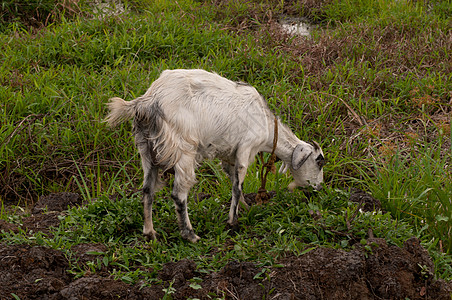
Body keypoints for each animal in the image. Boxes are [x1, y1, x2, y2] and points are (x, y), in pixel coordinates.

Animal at [106, 69, 324, 243]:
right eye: (319, 161)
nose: (319, 188)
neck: (267, 125)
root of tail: (149, 101)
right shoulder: (245, 147)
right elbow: (238, 184)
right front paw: (232, 222)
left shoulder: (229, 154)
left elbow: (233, 178)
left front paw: (245, 207)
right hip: (183, 149)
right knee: (178, 194)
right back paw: (190, 235)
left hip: (146, 149)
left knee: (147, 190)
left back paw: (150, 233)